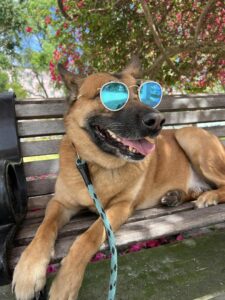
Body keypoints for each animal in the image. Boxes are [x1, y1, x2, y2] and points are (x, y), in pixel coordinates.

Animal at [12, 58, 225, 300]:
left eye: (144, 94)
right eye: (112, 96)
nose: (158, 120)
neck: (98, 165)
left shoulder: (120, 207)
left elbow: (87, 237)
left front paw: (66, 282)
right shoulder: (59, 203)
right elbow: (44, 229)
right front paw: (28, 271)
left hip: (189, 137)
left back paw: (209, 197)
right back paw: (176, 196)